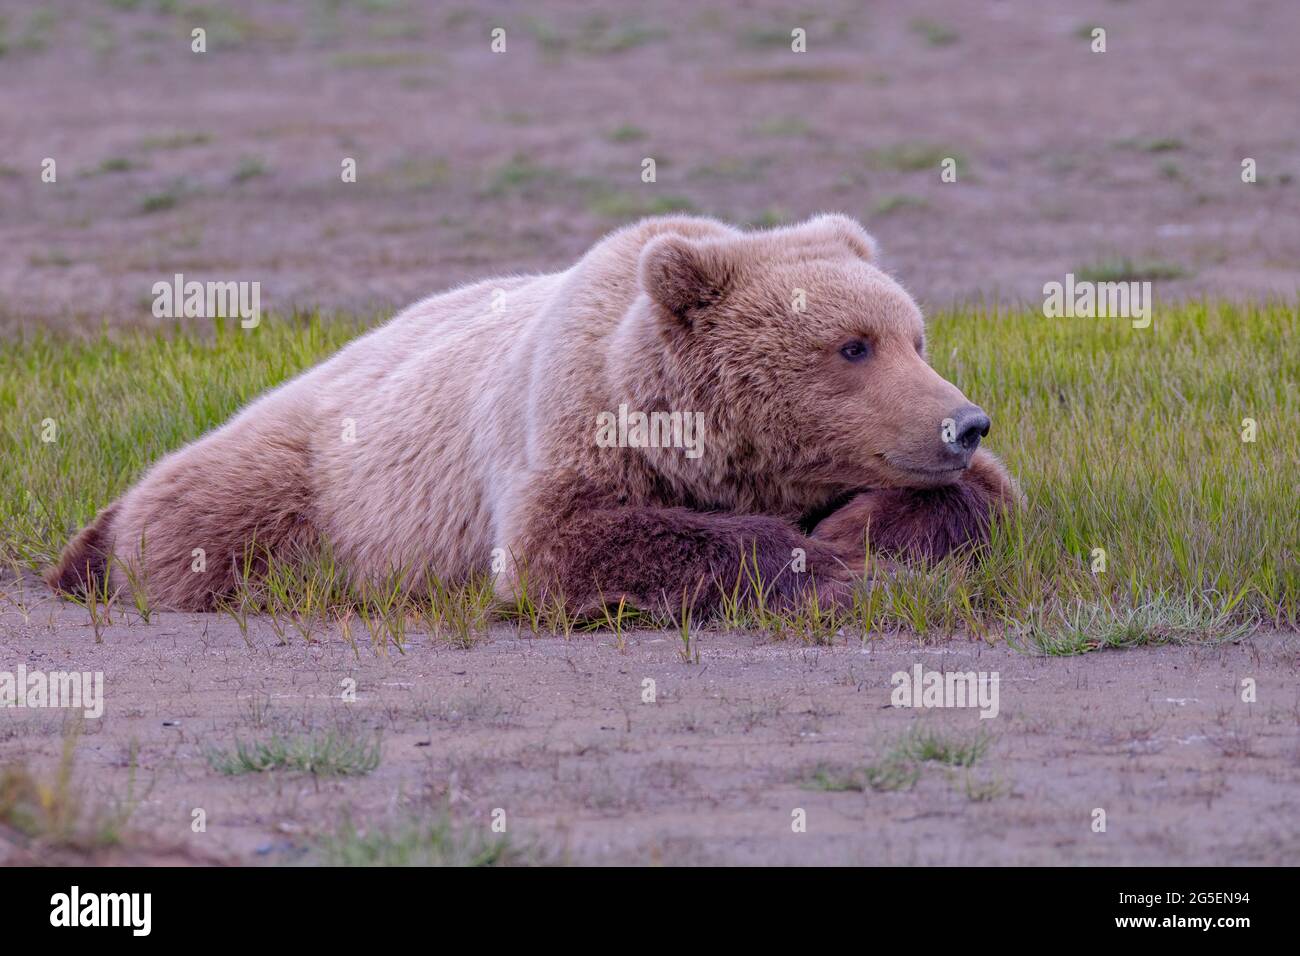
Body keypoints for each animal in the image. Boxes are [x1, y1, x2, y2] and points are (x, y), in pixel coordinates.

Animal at [47, 214, 1020, 615]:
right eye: (853, 346)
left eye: (916, 337)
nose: (964, 421)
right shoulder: (571, 424)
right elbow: (570, 541)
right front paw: (834, 565)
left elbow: (988, 500)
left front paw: (863, 530)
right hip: (313, 468)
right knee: (193, 517)